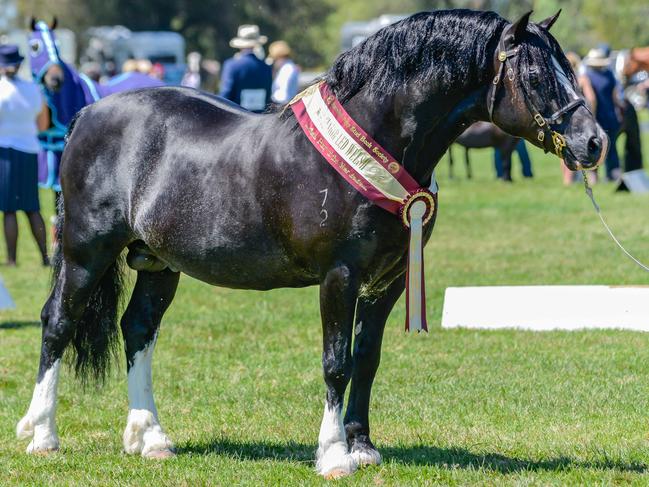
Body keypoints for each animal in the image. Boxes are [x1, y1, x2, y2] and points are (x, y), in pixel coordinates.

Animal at [19, 8, 608, 480]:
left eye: (568, 66)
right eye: (536, 73)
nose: (594, 142)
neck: (377, 139)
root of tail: (87, 115)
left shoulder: (389, 280)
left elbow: (367, 357)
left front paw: (363, 446)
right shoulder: (338, 277)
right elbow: (336, 362)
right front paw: (333, 455)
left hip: (158, 263)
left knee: (138, 330)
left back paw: (151, 438)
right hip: (85, 253)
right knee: (58, 324)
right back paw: (43, 435)